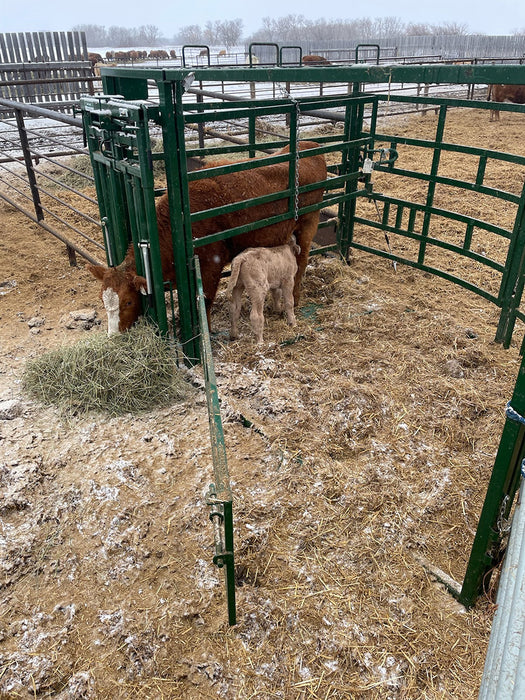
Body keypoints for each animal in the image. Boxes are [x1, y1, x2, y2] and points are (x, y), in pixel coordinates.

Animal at [88, 142, 327, 335]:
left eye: (128, 302)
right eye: (102, 299)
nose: (113, 335)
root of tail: (309, 146)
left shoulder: (211, 263)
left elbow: (205, 299)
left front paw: (208, 332)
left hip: (309, 222)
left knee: (301, 261)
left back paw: (294, 299)